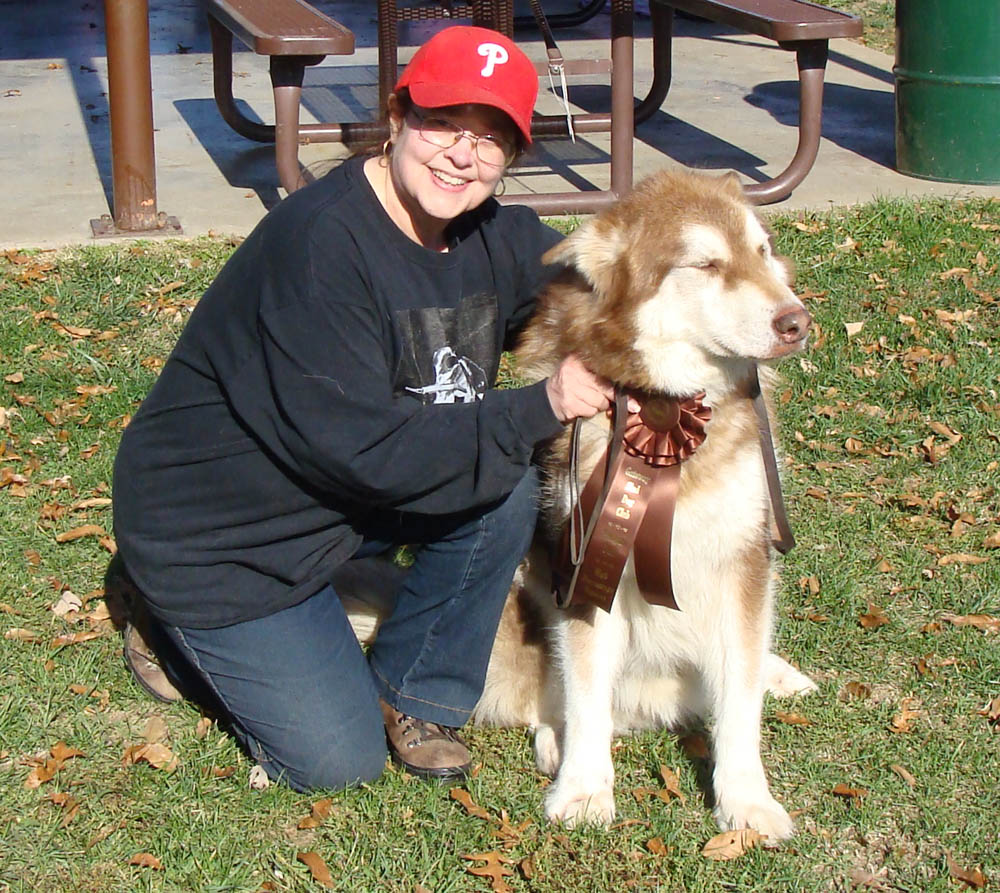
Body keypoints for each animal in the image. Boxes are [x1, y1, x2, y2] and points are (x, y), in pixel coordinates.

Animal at [472, 169, 816, 844]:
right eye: (706, 264)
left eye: (761, 252)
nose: (798, 320)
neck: (668, 406)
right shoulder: (586, 564)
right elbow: (584, 693)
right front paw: (583, 787)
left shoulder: (745, 559)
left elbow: (739, 699)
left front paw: (746, 800)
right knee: (550, 697)